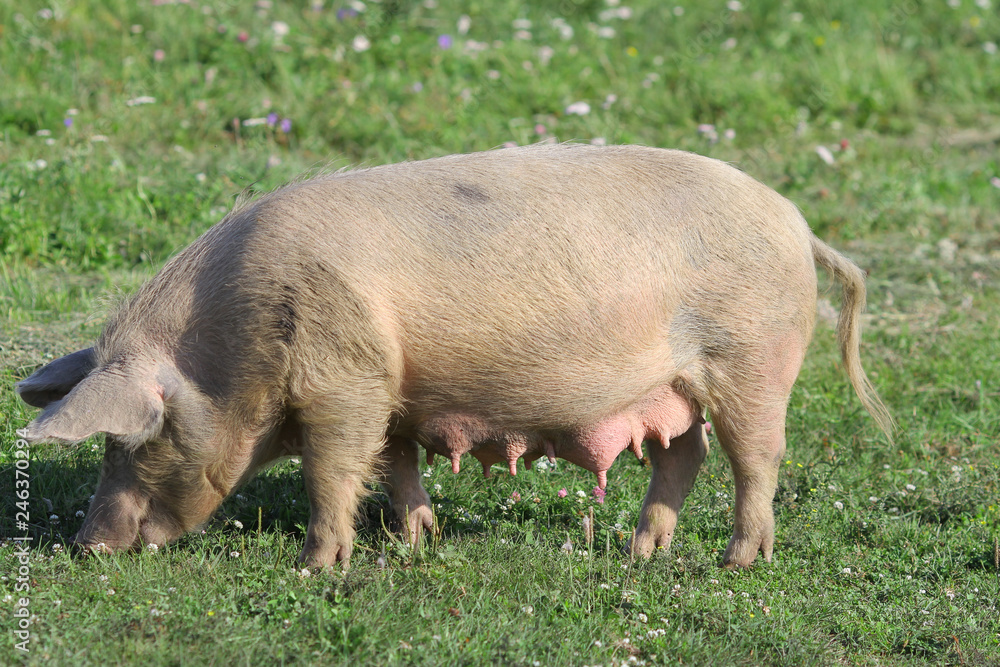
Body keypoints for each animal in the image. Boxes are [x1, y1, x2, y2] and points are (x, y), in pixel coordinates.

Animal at [16, 144, 893, 569]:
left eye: (133, 438)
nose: (86, 545)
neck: (232, 345)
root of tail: (798, 224)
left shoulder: (346, 379)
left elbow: (331, 469)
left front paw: (315, 565)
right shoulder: (392, 392)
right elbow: (395, 464)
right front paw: (416, 540)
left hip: (753, 356)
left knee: (757, 457)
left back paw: (737, 561)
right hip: (671, 385)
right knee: (685, 455)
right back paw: (642, 550)